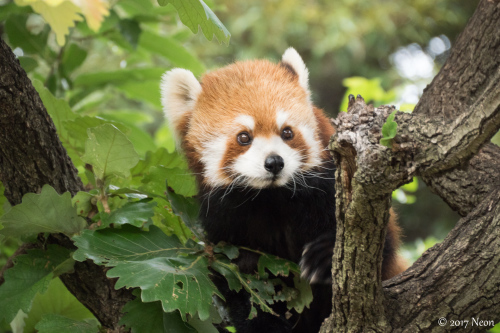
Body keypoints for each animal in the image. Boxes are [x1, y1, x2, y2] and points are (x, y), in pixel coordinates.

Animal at [160, 47, 406, 332]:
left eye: (287, 132)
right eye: (244, 137)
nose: (275, 162)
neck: (271, 197)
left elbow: (380, 244)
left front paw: (325, 256)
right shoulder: (227, 227)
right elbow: (244, 287)